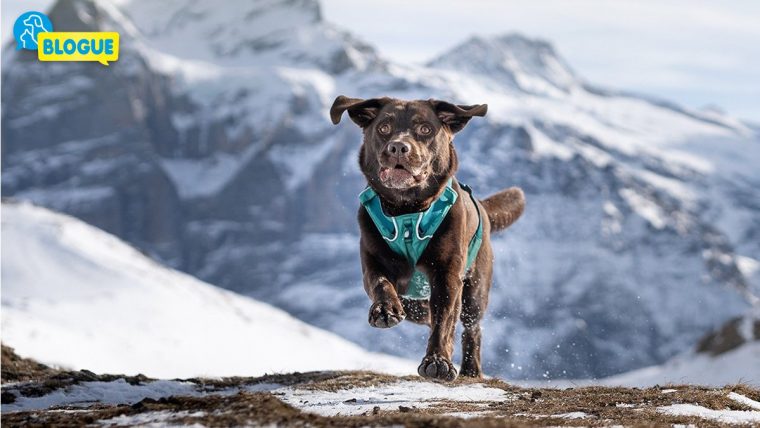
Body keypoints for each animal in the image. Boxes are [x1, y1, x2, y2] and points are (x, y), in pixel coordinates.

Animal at [330, 95, 524, 380]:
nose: (398, 147)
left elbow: (443, 319)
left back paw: (470, 369)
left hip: (476, 290)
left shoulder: (447, 273)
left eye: (425, 129)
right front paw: (386, 310)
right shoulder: (372, 260)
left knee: (470, 326)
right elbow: (380, 282)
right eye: (384, 128)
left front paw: (438, 361)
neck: (407, 210)